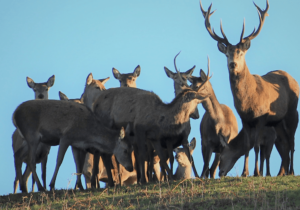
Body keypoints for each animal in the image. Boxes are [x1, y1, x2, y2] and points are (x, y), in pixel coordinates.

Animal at [200, 0, 298, 176]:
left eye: (240, 52)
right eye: (227, 54)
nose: (233, 65)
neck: (249, 100)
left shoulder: (261, 118)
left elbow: (257, 146)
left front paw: (256, 172)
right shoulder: (245, 119)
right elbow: (247, 146)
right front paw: (245, 172)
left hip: (293, 111)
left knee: (292, 141)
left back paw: (291, 171)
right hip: (277, 122)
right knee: (286, 143)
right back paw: (283, 172)